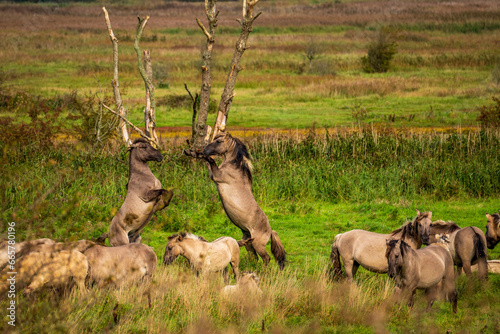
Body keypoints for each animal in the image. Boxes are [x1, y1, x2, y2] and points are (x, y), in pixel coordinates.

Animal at [199, 132, 286, 270]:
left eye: (218, 141)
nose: (205, 150)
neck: (234, 169)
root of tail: (270, 231)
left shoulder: (217, 176)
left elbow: (211, 162)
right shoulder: (213, 175)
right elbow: (208, 164)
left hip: (258, 245)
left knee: (266, 258)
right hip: (249, 243)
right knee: (254, 257)